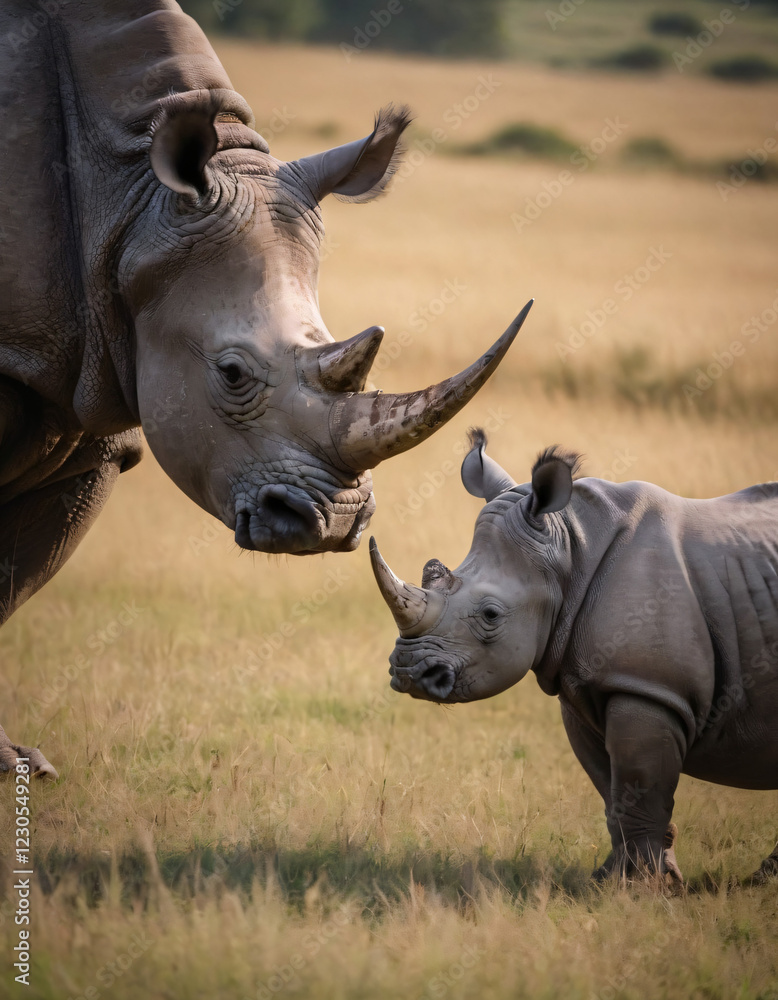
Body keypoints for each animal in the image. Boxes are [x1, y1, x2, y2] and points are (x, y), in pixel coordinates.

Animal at [0, 0, 531, 778]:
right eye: (231, 374)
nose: (336, 522)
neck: (128, 206)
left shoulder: (95, 401)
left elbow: (12, 579)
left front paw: (21, 767)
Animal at [370, 430, 778, 883]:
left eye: (491, 615)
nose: (409, 672)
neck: (568, 547)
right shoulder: (586, 688)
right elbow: (612, 791)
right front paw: (612, 881)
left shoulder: (648, 687)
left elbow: (639, 788)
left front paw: (646, 888)